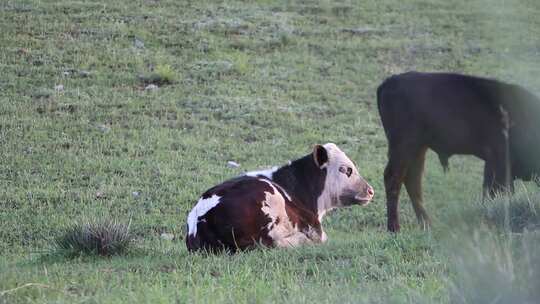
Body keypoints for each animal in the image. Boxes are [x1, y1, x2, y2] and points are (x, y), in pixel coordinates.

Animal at [378, 72, 540, 233]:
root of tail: (388, 83)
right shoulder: (497, 163)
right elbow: (495, 191)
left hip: (418, 149)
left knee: (412, 180)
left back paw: (427, 225)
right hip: (403, 147)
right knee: (393, 178)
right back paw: (395, 228)